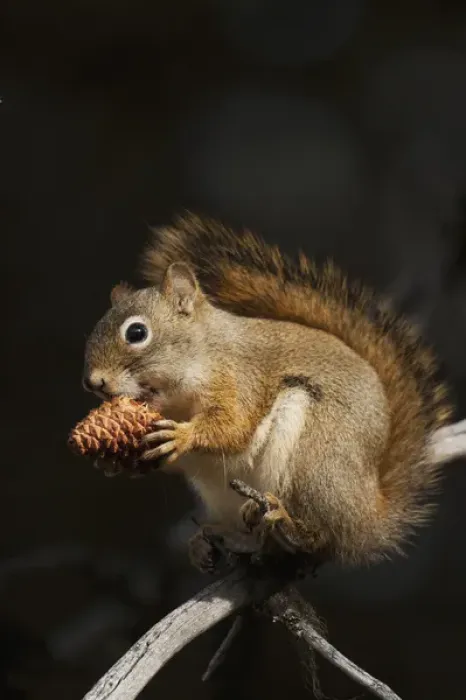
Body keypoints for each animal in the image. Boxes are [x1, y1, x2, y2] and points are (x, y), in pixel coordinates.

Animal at [82, 213, 452, 572]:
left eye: (137, 333)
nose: (93, 382)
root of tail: (368, 520)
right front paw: (114, 463)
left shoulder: (240, 378)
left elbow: (233, 427)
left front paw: (183, 436)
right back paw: (216, 539)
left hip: (316, 461)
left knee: (323, 538)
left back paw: (288, 524)